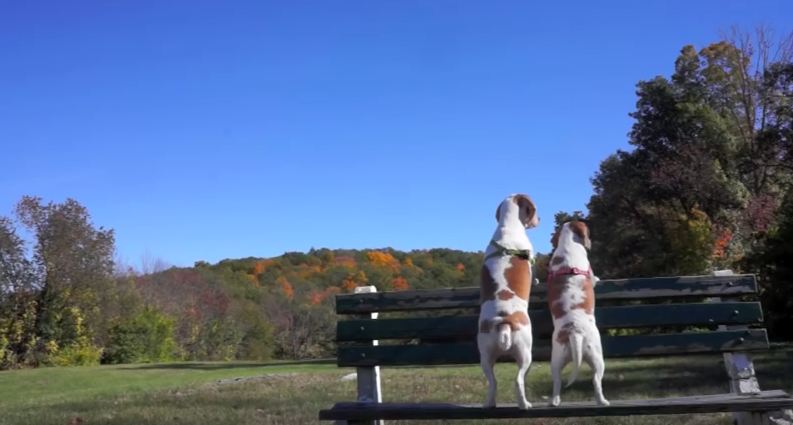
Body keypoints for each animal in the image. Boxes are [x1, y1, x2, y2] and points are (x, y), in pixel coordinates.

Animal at [476, 194, 540, 410]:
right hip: (526, 353)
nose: (539, 220)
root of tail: (504, 322)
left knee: (492, 382)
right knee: (518, 380)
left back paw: (489, 403)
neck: (508, 226)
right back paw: (524, 404)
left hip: (485, 357)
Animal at [548, 220, 608, 406]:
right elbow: (594, 277)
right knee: (596, 380)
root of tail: (574, 332)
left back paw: (554, 401)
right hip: (597, 357)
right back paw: (603, 401)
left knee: (557, 381)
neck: (568, 244)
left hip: (556, 360)